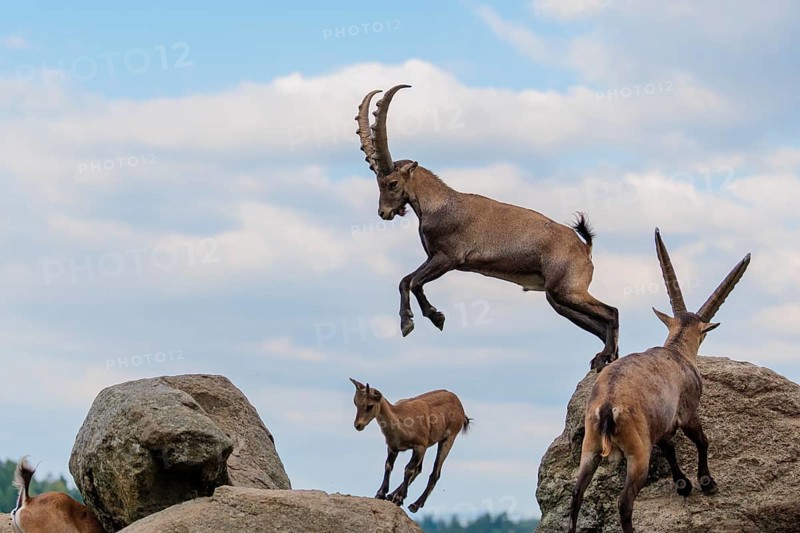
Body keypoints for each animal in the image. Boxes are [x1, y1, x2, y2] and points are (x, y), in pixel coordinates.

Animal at [349, 378, 470, 513]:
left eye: (370, 405)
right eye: (355, 402)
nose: (358, 425)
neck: (401, 422)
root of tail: (459, 406)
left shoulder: (420, 446)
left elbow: (408, 469)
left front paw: (399, 498)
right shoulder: (393, 447)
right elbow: (388, 466)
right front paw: (381, 494)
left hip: (448, 439)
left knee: (435, 473)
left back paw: (415, 504)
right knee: (419, 469)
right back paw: (392, 495)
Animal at [356, 85, 620, 371]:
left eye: (392, 183)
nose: (384, 213)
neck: (439, 205)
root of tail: (584, 247)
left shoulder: (448, 258)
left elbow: (414, 282)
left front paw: (432, 318)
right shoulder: (433, 257)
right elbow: (405, 281)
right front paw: (410, 322)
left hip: (568, 290)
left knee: (611, 313)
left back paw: (606, 355)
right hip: (558, 298)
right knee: (600, 324)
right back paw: (604, 357)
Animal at [568, 229, 750, 533]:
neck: (676, 351)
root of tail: (606, 408)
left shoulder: (661, 423)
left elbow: (669, 447)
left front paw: (683, 484)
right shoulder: (687, 411)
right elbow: (701, 440)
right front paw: (706, 482)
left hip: (589, 448)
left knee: (576, 495)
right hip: (638, 453)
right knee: (624, 502)